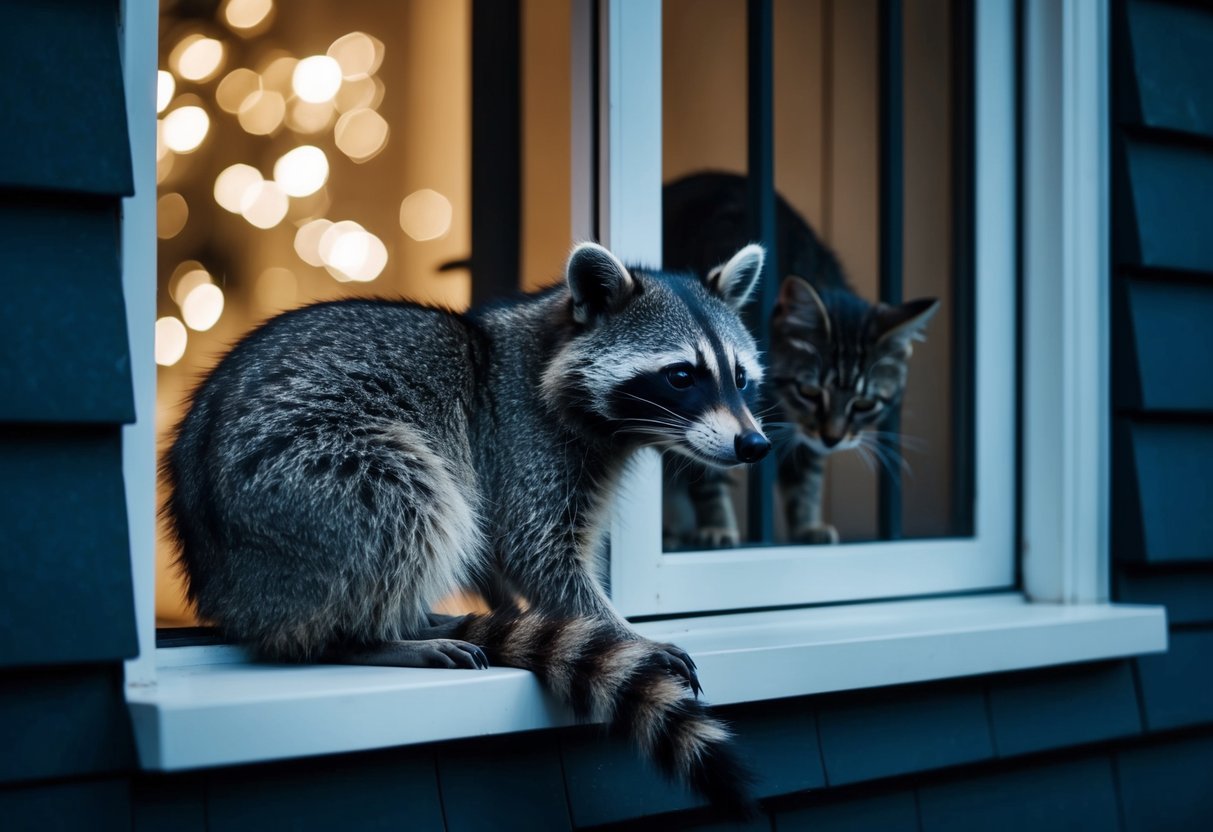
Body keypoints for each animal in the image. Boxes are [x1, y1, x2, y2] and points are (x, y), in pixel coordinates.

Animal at [164, 242, 769, 814]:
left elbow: (498, 555)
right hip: (309, 479)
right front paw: (623, 631)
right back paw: (366, 639)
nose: (755, 444)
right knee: (412, 501)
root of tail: (227, 590)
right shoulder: (520, 440)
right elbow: (536, 551)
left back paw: (411, 620)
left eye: (740, 378)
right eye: (682, 376)